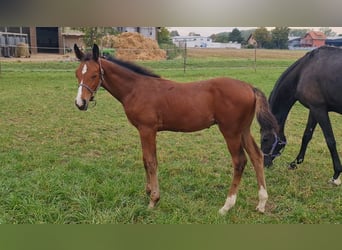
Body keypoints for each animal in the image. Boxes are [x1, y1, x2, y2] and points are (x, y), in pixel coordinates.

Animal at [73, 44, 280, 214]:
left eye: (94, 75)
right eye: (77, 74)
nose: (80, 103)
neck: (136, 88)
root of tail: (250, 87)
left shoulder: (147, 129)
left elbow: (151, 161)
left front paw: (153, 200)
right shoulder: (143, 130)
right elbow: (145, 160)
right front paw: (148, 191)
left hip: (230, 131)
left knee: (239, 161)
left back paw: (227, 206)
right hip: (243, 130)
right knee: (257, 156)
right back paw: (261, 203)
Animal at [262, 45, 342, 186]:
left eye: (265, 139)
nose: (264, 164)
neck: (303, 71)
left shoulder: (319, 109)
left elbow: (330, 140)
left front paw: (336, 175)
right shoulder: (314, 109)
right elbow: (306, 136)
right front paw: (295, 163)